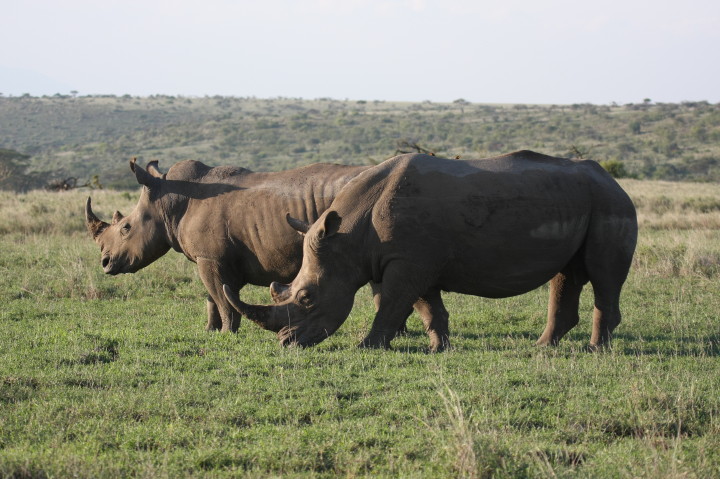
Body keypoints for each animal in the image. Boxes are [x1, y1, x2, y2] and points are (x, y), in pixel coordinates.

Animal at [223, 150, 638, 351]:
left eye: (307, 297)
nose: (286, 343)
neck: (348, 238)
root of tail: (612, 179)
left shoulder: (409, 262)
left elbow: (392, 303)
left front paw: (367, 346)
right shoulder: (415, 260)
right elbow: (427, 306)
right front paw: (440, 347)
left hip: (610, 204)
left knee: (603, 277)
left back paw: (595, 350)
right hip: (580, 201)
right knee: (566, 275)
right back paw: (543, 347)